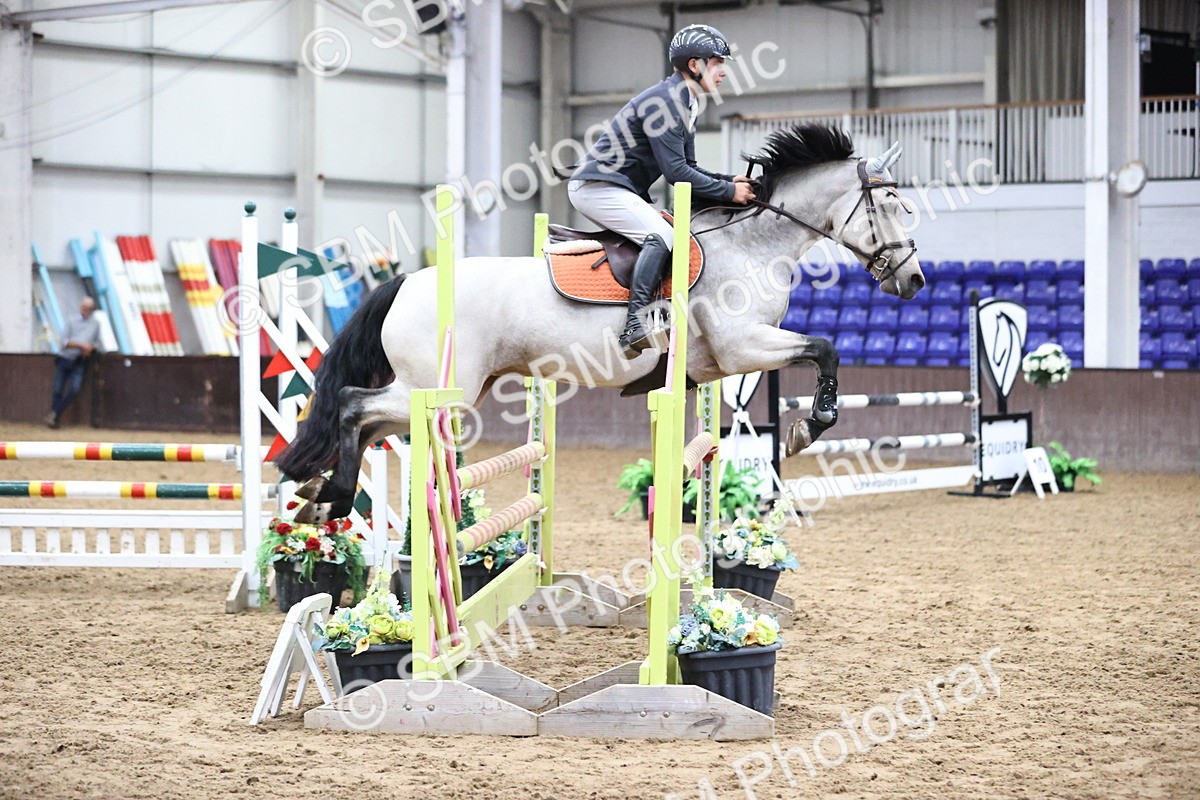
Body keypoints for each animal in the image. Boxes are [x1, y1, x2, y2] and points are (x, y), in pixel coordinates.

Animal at [276, 124, 924, 523]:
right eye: (891, 206)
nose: (915, 280)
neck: (750, 243)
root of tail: (406, 282)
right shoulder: (743, 349)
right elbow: (826, 348)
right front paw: (807, 428)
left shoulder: (725, 363)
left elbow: (819, 350)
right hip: (440, 389)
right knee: (354, 406)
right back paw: (333, 495)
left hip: (447, 393)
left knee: (366, 424)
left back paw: (316, 496)